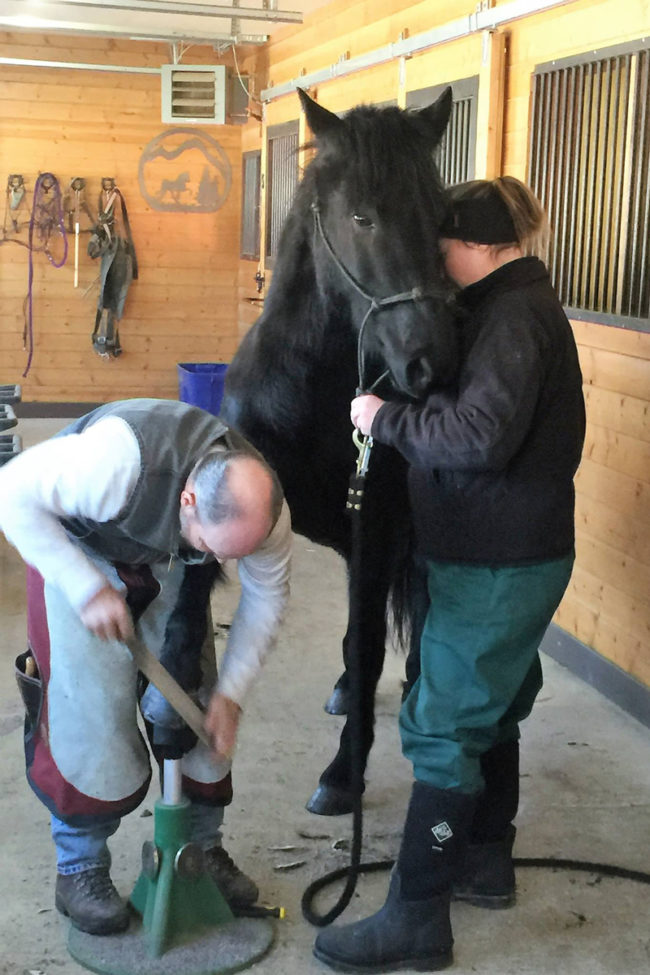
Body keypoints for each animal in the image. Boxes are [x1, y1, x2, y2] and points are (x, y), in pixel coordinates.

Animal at [163, 87, 458, 816]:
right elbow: (189, 587)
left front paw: (343, 774)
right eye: (361, 216)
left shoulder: (376, 531)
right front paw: (169, 708)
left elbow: (373, 644)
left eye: (443, 218)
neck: (314, 392)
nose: (431, 363)